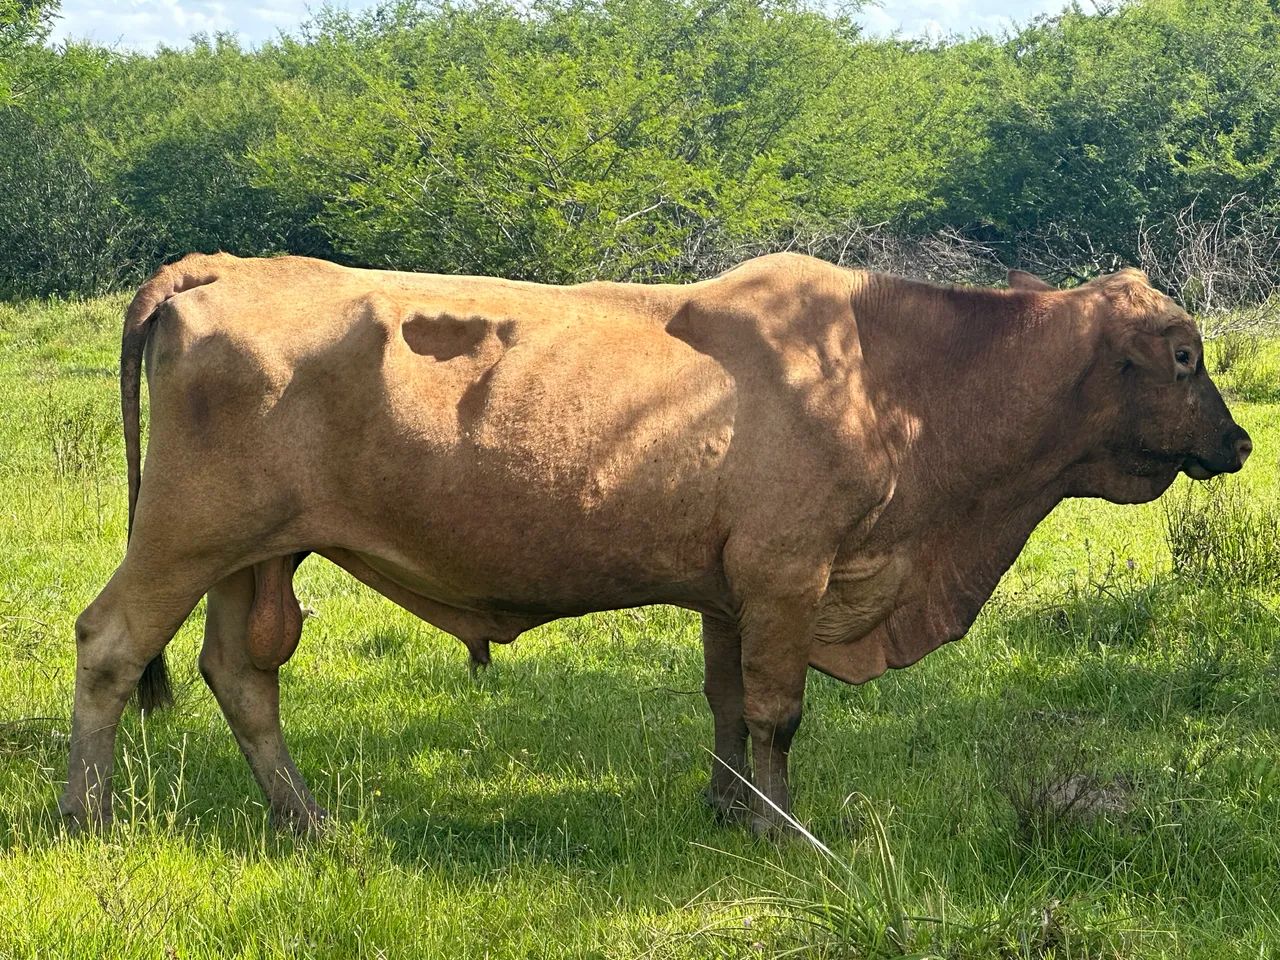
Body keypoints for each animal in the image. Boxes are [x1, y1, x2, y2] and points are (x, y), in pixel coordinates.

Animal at [59, 252, 1252, 836]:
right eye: (1183, 356)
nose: (1239, 441)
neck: (892, 373)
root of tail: (214, 265)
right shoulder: (786, 575)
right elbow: (777, 711)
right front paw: (779, 828)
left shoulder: (731, 590)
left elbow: (728, 704)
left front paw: (727, 808)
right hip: (184, 534)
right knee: (110, 645)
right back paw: (90, 815)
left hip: (255, 555)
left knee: (241, 675)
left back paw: (309, 822)